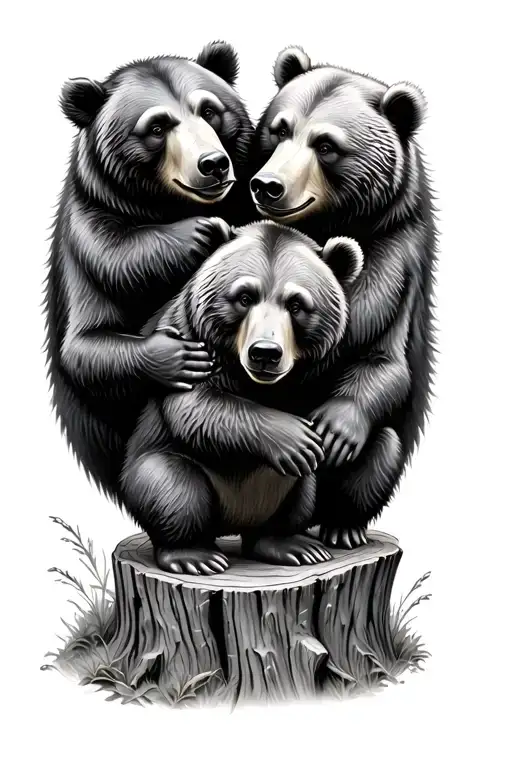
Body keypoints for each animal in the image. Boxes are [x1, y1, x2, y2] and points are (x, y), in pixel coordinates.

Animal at [44, 42, 254, 506]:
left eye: (209, 110)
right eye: (157, 126)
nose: (213, 164)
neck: (164, 210)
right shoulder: (90, 245)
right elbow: (86, 347)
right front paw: (178, 356)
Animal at [120, 221, 364, 574]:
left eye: (296, 304)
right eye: (245, 296)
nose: (265, 353)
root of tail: (233, 524)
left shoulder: (325, 365)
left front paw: (335, 433)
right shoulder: (190, 336)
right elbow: (197, 406)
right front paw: (294, 438)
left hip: (287, 489)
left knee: (297, 498)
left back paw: (289, 544)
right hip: (166, 469)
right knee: (172, 489)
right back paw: (192, 553)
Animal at [248, 47, 437, 549]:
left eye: (327, 145)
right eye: (280, 129)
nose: (267, 185)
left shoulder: (396, 259)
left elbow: (383, 359)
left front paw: (334, 428)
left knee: (383, 448)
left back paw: (343, 527)